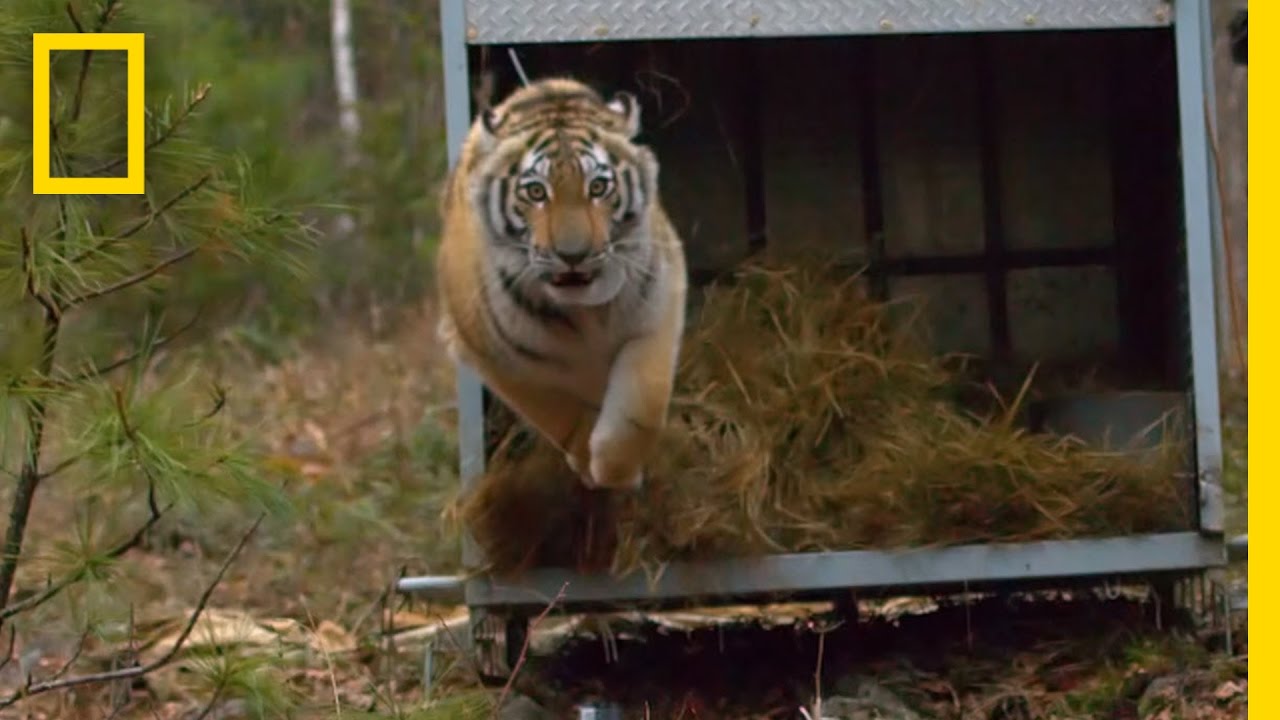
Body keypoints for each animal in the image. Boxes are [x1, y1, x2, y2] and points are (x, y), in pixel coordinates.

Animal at [434, 76, 688, 491]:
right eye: (536, 192)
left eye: (598, 187)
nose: (574, 254)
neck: (587, 314)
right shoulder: (488, 353)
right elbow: (556, 411)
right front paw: (589, 460)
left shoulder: (660, 304)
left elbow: (643, 402)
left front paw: (616, 470)